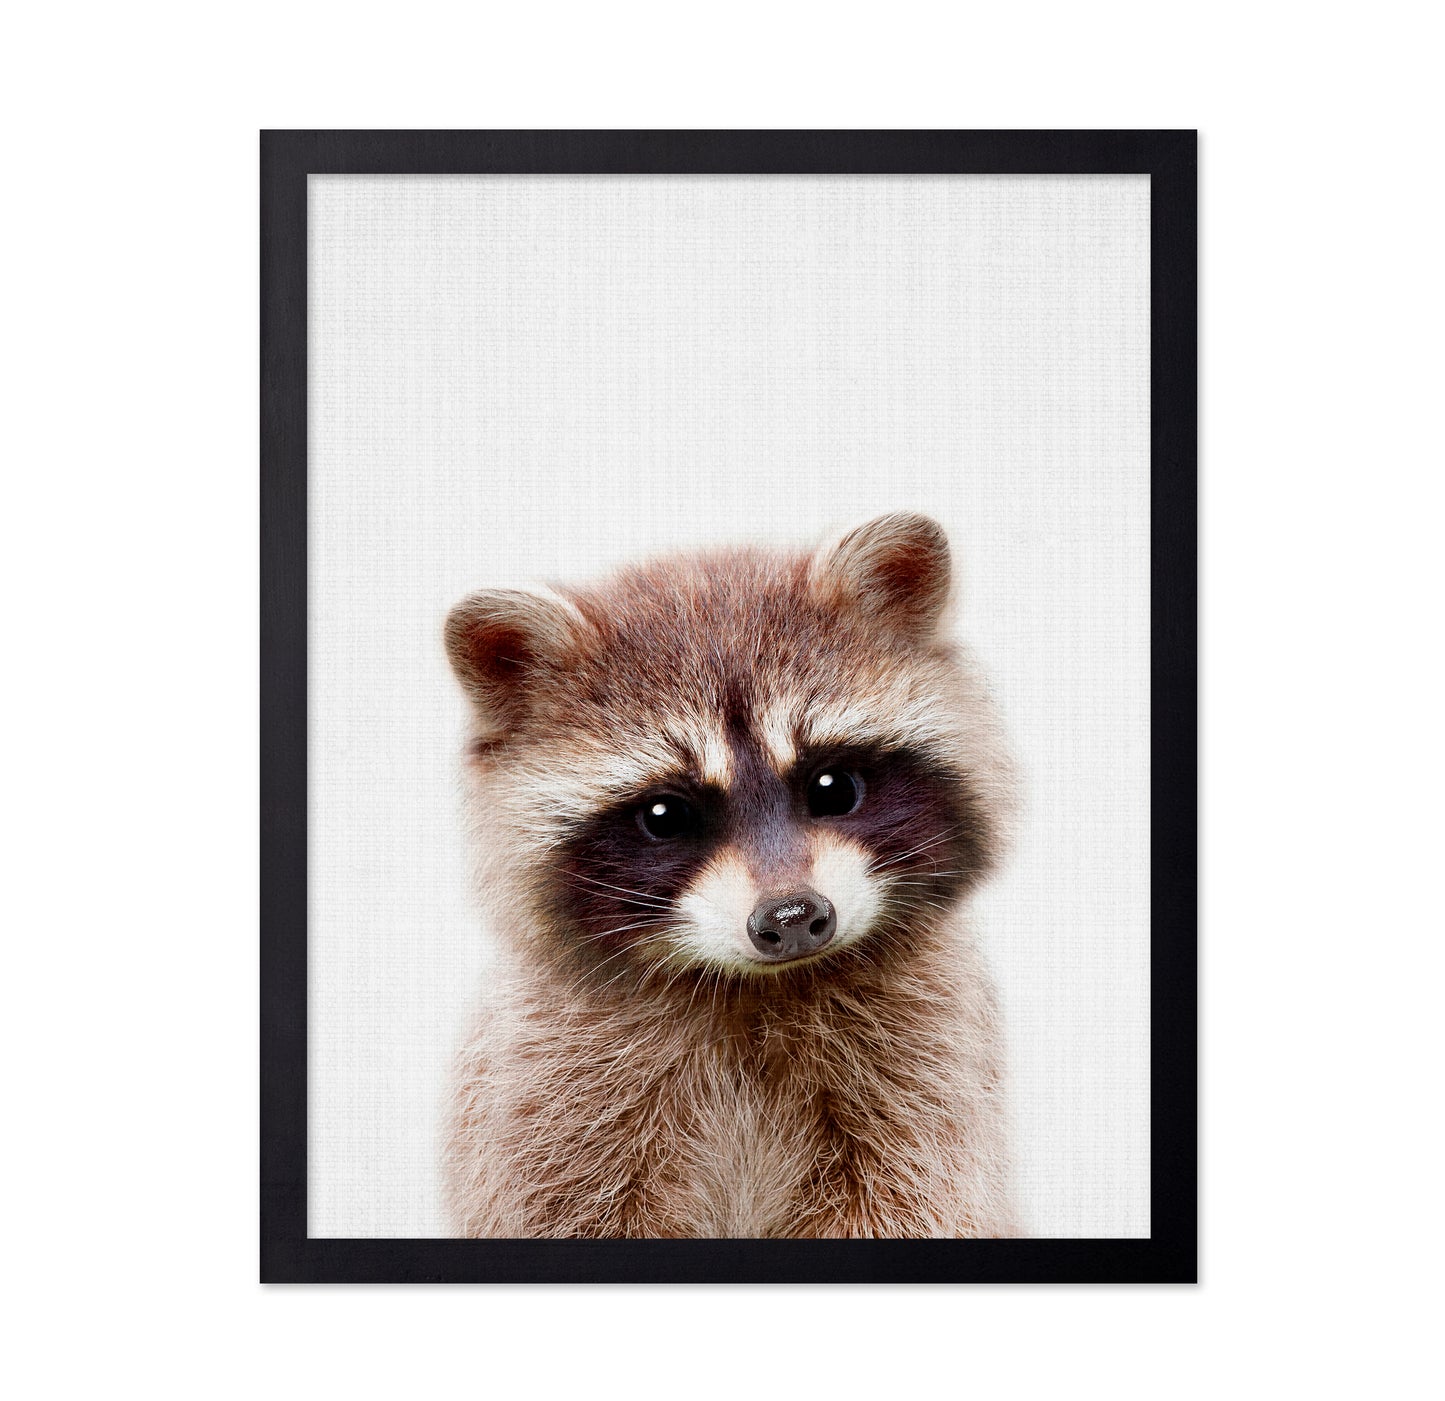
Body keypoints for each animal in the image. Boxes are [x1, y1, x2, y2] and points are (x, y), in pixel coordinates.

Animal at [441, 512, 1020, 1238]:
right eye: (665, 815)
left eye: (833, 786)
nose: (793, 918)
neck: (754, 989)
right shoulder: (548, 1092)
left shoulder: (927, 1069)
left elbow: (912, 1197)